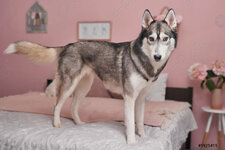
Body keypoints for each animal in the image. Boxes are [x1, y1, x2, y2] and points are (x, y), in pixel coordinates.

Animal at [3, 8, 176, 145]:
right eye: (151, 39)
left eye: (165, 39)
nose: (157, 57)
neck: (147, 64)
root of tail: (67, 46)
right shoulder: (129, 97)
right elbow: (131, 123)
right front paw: (132, 142)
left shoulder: (141, 99)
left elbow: (139, 121)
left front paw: (144, 137)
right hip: (69, 85)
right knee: (56, 105)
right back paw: (57, 124)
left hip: (83, 87)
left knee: (72, 107)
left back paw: (79, 123)